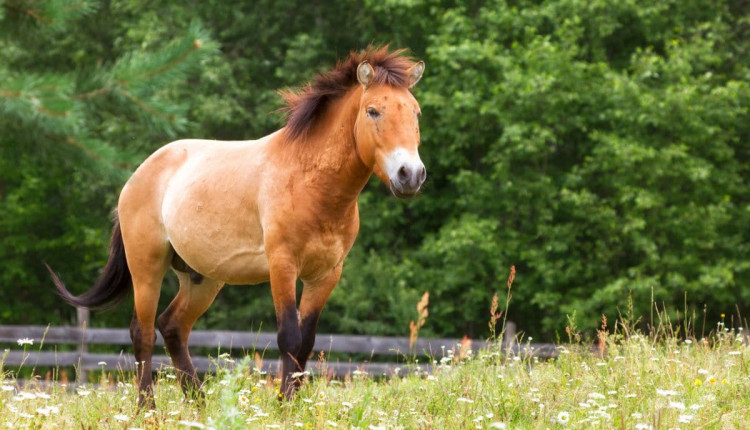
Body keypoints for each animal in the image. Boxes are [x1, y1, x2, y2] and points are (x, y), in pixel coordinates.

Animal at [50, 47, 428, 406]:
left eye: (415, 112)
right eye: (373, 111)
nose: (410, 175)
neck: (311, 181)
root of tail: (137, 176)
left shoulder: (326, 275)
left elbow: (306, 342)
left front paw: (294, 407)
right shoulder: (282, 266)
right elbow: (289, 337)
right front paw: (282, 409)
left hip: (202, 278)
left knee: (171, 327)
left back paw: (199, 405)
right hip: (147, 265)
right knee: (142, 333)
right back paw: (149, 410)